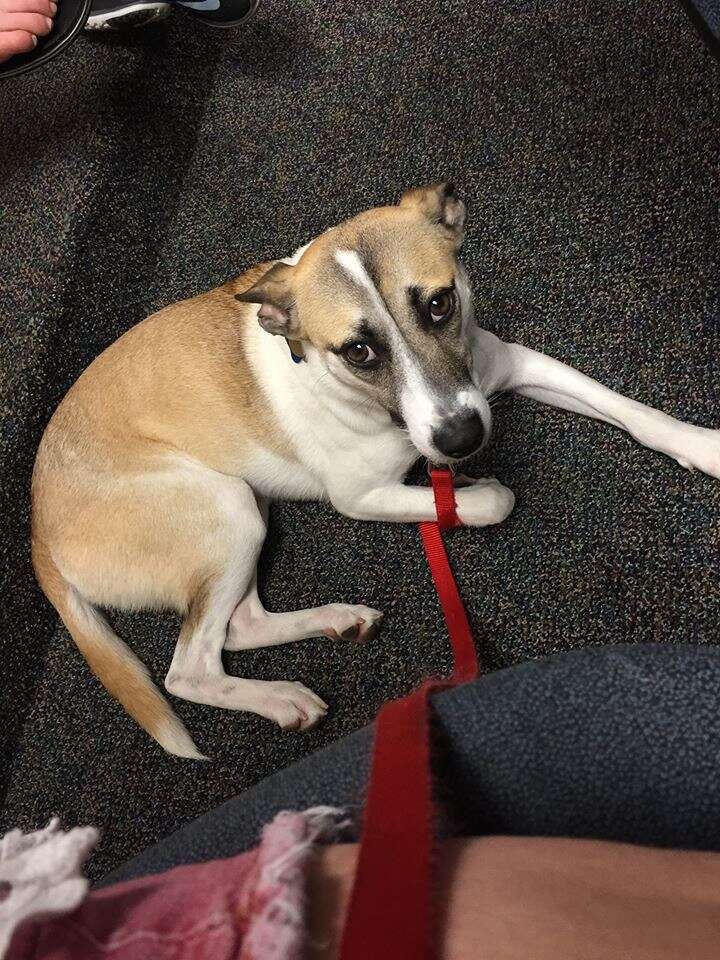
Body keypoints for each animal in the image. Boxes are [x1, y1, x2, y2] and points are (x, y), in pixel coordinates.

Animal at [32, 184, 720, 760]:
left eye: (439, 304)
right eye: (358, 350)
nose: (462, 439)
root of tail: (37, 533)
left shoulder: (508, 365)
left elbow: (629, 411)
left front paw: (700, 443)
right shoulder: (362, 496)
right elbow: (476, 502)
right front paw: (476, 491)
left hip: (245, 511)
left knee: (236, 629)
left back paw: (333, 622)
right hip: (224, 508)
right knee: (189, 668)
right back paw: (278, 697)